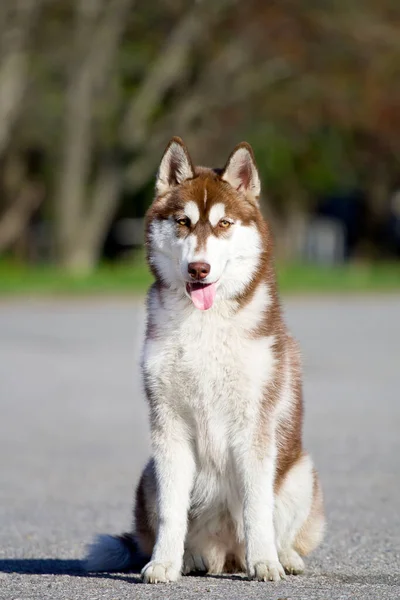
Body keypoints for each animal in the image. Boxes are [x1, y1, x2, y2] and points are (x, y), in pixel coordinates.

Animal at [85, 135, 324, 580]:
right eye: (183, 221)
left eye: (224, 224)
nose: (199, 268)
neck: (205, 325)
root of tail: (226, 555)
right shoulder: (169, 425)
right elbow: (172, 513)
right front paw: (164, 563)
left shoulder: (254, 424)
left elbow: (257, 507)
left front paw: (265, 562)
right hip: (148, 476)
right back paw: (191, 558)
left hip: (302, 472)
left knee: (279, 524)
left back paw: (281, 555)